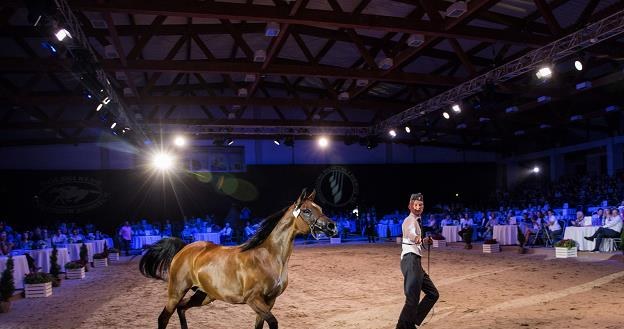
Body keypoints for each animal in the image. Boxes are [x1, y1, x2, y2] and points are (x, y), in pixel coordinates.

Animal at [141, 190, 336, 328]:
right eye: (306, 211)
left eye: (320, 208)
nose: (332, 227)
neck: (268, 257)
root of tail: (184, 248)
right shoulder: (253, 299)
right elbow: (273, 323)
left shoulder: (269, 301)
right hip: (176, 292)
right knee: (163, 318)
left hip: (204, 295)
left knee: (181, 309)